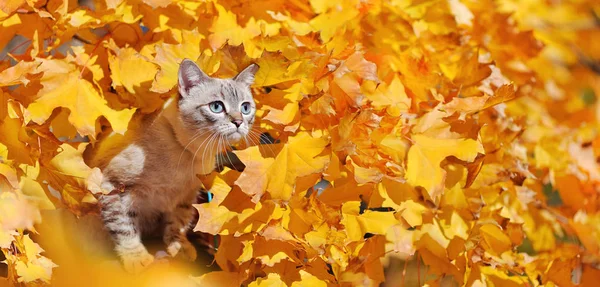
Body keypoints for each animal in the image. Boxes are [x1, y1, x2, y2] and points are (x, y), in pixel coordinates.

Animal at [95, 59, 258, 274]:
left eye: (245, 108)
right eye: (216, 107)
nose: (239, 121)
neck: (189, 154)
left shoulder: (187, 194)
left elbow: (178, 223)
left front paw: (180, 248)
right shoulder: (113, 186)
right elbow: (124, 227)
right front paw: (137, 258)